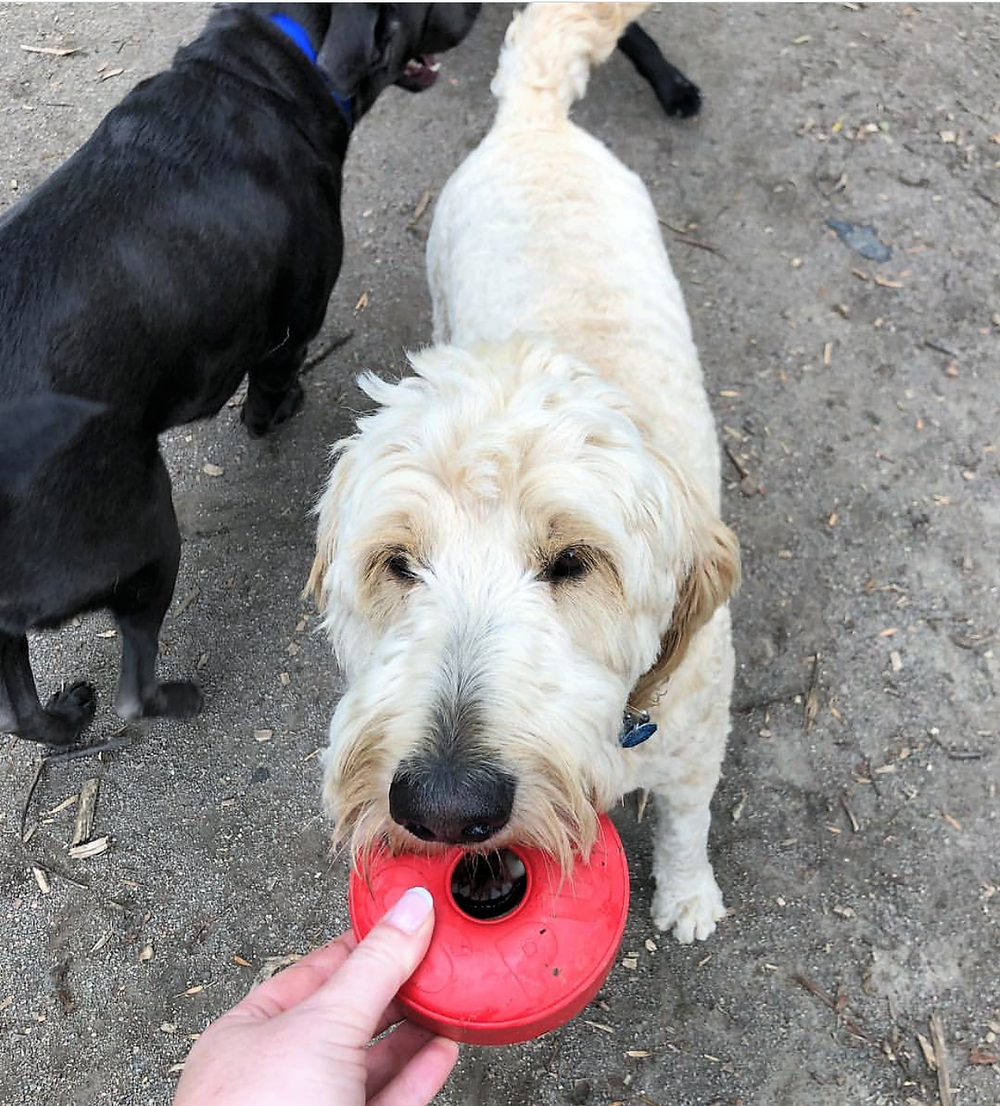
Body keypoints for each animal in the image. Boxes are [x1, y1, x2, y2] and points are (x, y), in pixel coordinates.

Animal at [0, 4, 480, 747]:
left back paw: (64, 717)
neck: (269, 64)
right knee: (134, 692)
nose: (481, 11)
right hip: (148, 535)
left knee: (18, 711)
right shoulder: (294, 325)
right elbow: (269, 387)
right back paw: (177, 697)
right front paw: (279, 412)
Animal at [307, 4, 738, 946]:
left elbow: (689, 823)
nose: (443, 808)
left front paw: (689, 897)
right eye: (398, 564)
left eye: (574, 561)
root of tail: (535, 113)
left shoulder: (696, 746)